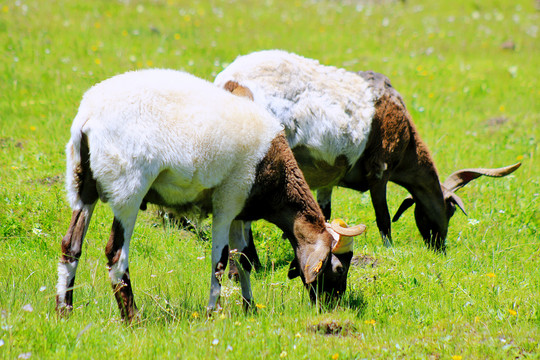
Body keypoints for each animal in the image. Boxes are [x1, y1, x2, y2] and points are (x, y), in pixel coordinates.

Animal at [54, 69, 364, 322]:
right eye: (338, 268)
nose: (332, 307)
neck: (275, 178)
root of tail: (87, 119)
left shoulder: (240, 211)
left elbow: (244, 259)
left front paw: (249, 308)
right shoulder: (227, 200)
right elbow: (220, 261)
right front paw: (213, 313)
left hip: (82, 185)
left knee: (71, 245)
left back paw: (64, 311)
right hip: (128, 188)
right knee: (116, 254)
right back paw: (133, 318)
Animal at [214, 50, 520, 253]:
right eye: (450, 210)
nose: (438, 245)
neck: (407, 139)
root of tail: (230, 82)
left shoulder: (330, 176)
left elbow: (325, 210)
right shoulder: (380, 167)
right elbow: (382, 216)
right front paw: (390, 250)